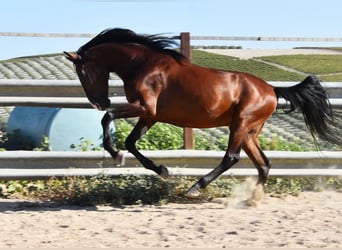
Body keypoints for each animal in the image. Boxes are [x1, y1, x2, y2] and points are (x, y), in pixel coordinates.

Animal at [63, 27, 336, 203]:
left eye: (83, 72)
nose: (100, 102)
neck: (144, 65)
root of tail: (272, 89)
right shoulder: (150, 116)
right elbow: (131, 142)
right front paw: (162, 169)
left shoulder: (145, 108)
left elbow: (108, 119)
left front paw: (115, 154)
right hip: (250, 132)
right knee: (264, 164)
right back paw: (253, 199)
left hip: (240, 124)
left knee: (232, 158)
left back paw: (195, 188)